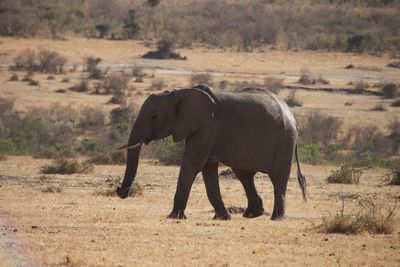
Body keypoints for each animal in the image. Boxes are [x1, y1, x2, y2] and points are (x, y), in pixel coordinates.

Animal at [115, 85, 306, 221]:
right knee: (244, 175)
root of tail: (292, 117)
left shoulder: (207, 127)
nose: (120, 191)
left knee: (278, 178)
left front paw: (174, 217)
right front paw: (223, 218)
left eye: (154, 117)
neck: (179, 93)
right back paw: (252, 214)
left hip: (285, 141)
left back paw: (276, 219)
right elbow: (208, 169)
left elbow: (192, 165)